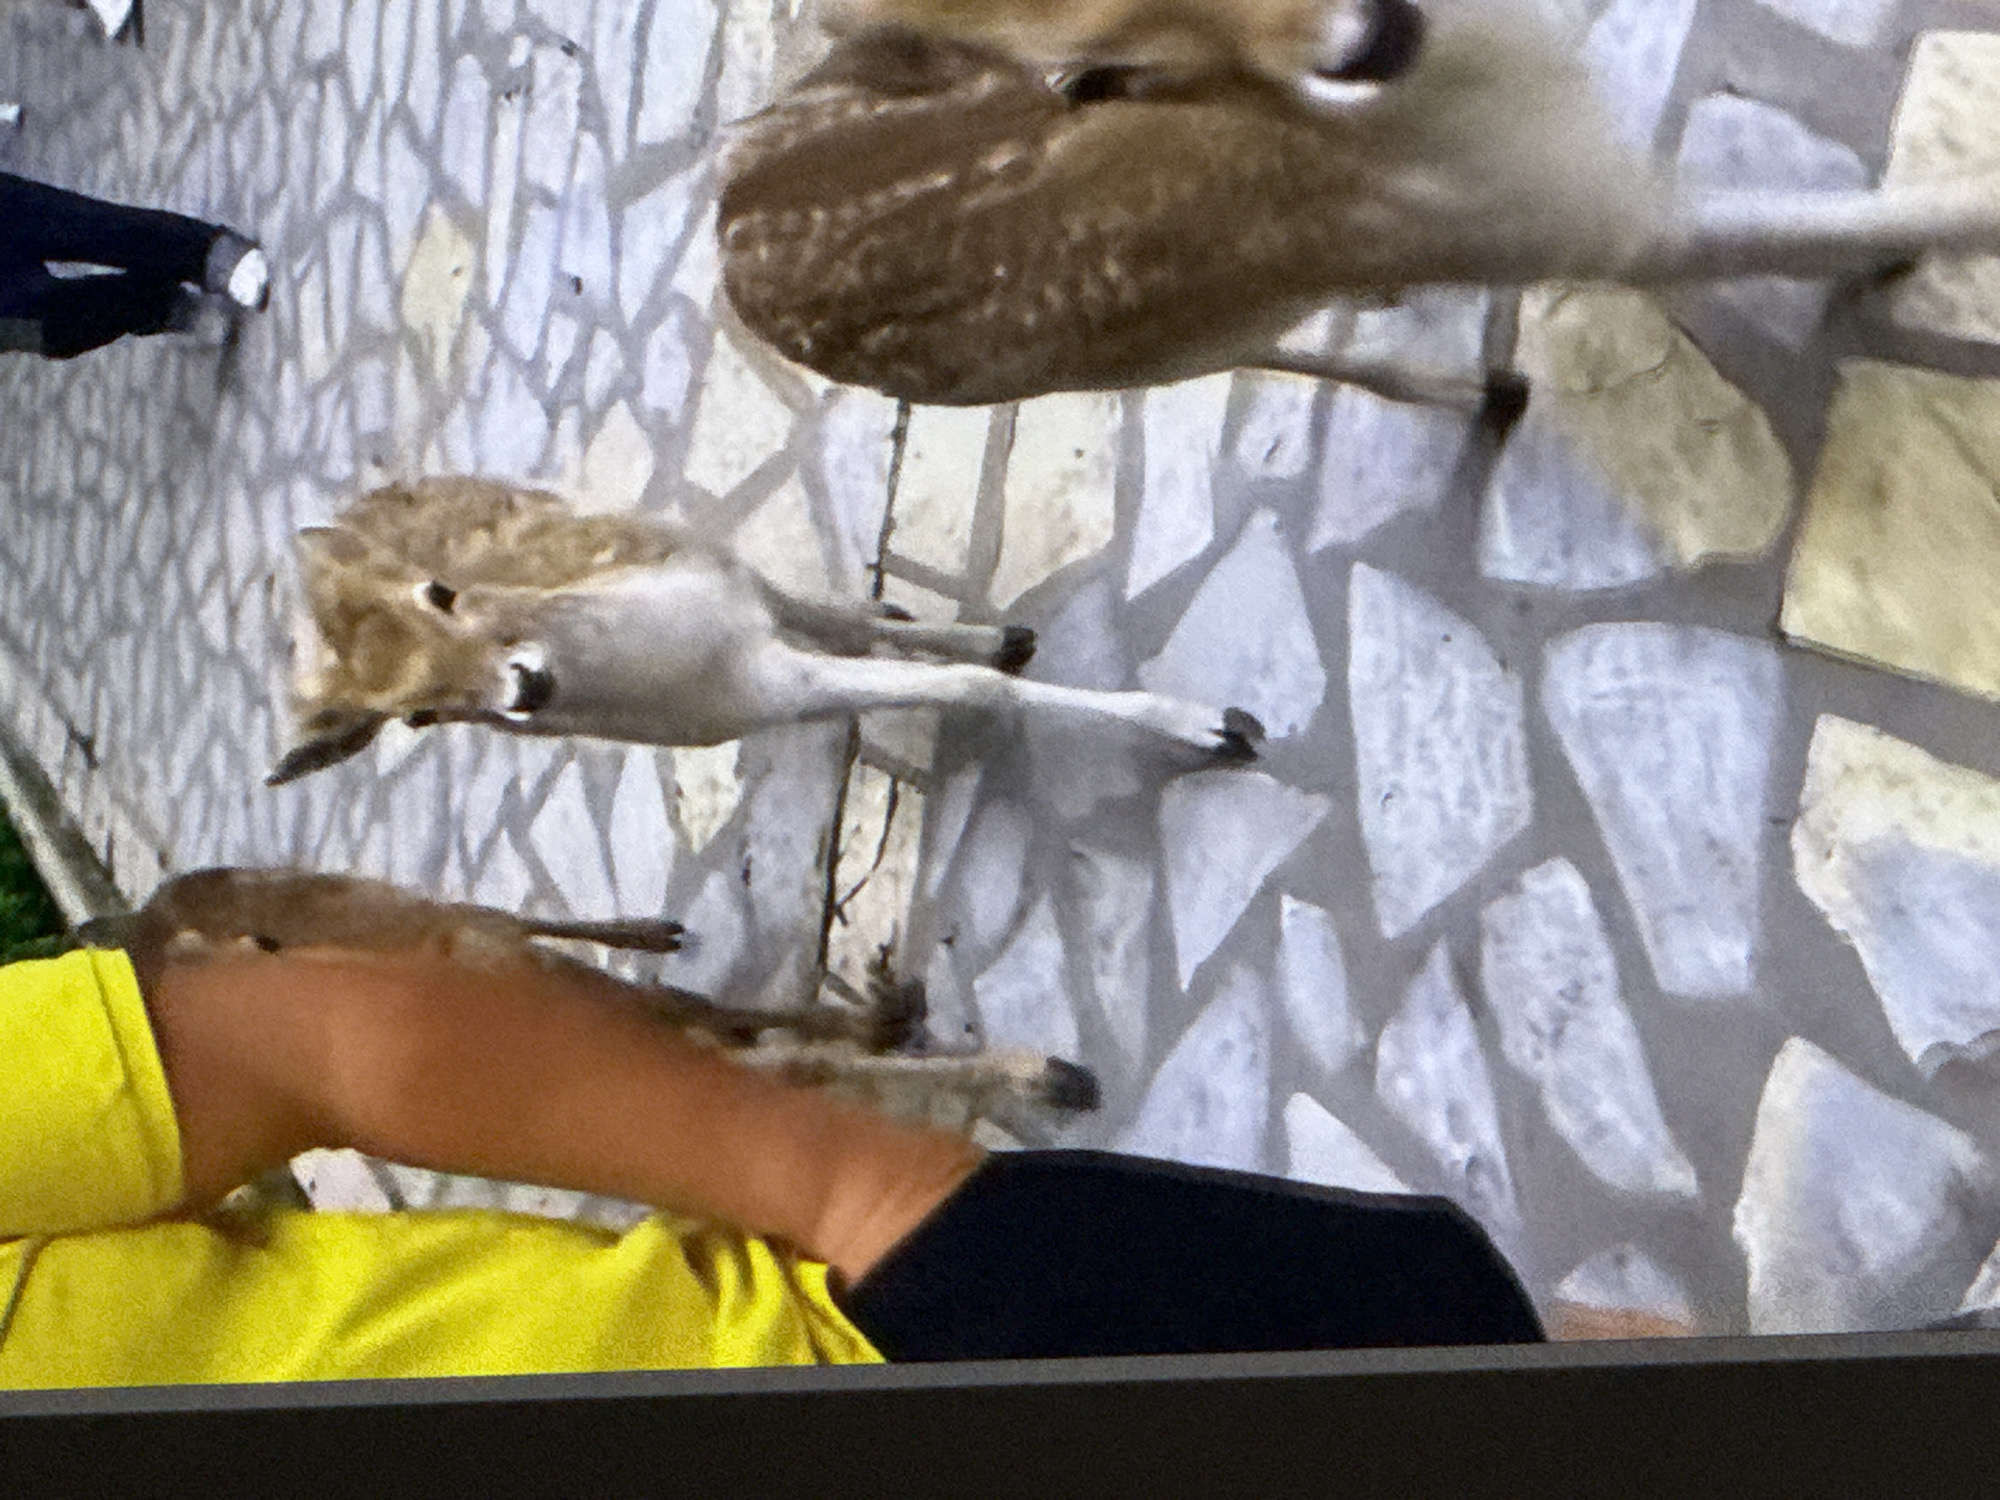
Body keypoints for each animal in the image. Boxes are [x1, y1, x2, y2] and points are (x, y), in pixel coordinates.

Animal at [267, 475, 1263, 784]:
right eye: (417, 717)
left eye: (440, 592)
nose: (526, 687)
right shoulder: (762, 694)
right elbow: (965, 689)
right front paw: (1220, 729)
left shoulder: (726, 593)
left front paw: (1217, 726)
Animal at [718, 1, 2000, 412]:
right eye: (1098, 70)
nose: (1368, 38)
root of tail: (726, 234)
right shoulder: (1595, 221)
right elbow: (1835, 224)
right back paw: (1468, 387)